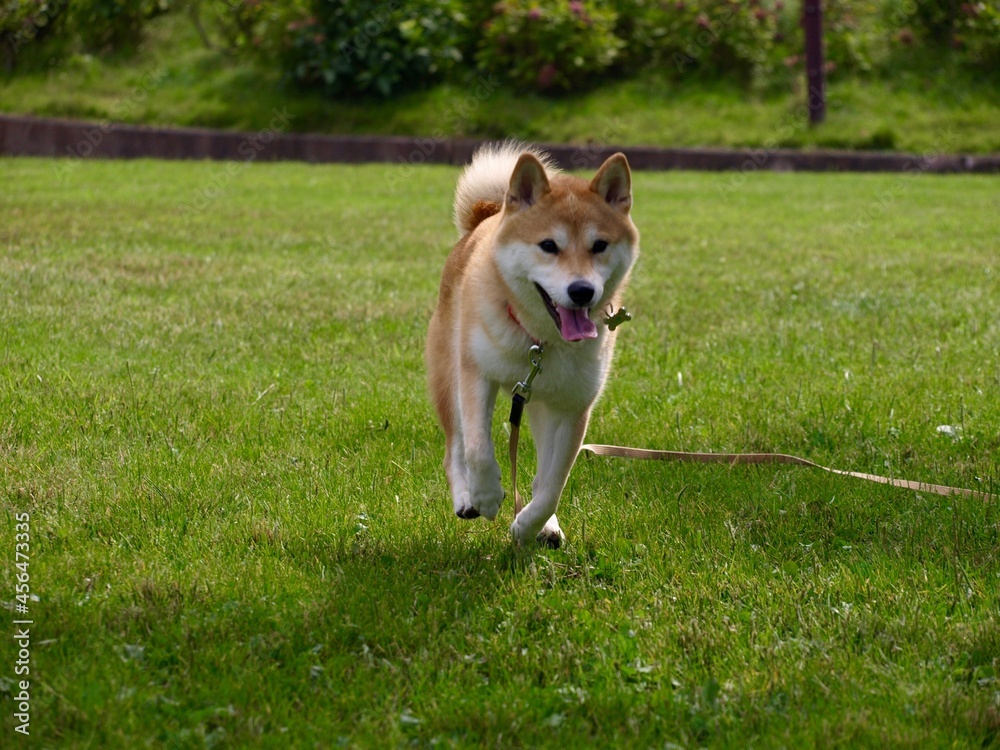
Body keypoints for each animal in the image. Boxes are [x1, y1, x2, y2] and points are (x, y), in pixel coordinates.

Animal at [426, 144, 636, 548]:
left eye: (599, 245)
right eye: (548, 246)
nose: (582, 291)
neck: (539, 341)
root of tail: (485, 217)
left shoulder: (572, 407)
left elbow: (552, 485)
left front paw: (528, 525)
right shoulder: (475, 375)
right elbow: (478, 449)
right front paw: (487, 495)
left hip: (541, 404)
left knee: (540, 474)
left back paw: (547, 525)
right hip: (448, 375)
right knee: (454, 447)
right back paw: (465, 497)